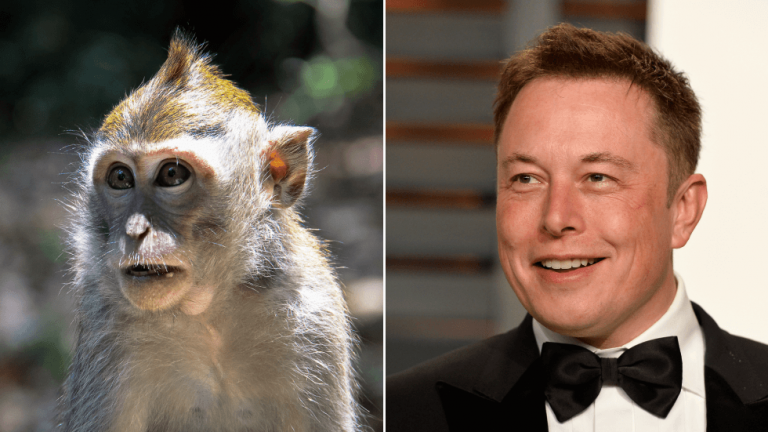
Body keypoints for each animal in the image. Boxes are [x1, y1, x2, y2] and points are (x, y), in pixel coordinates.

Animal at [58, 30, 360, 432]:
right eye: (120, 177)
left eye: (172, 174)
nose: (135, 230)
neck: (208, 311)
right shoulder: (106, 323)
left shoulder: (314, 317)